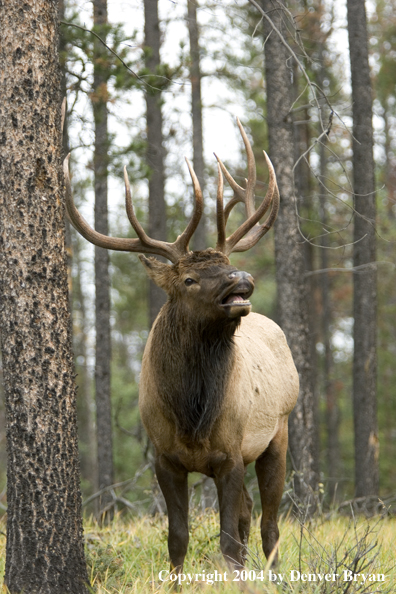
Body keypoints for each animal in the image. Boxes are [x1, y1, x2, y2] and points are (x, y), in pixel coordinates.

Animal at [63, 119, 298, 568]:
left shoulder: (230, 454)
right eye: (189, 279)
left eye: (226, 263)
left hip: (278, 432)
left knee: (270, 526)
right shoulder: (165, 458)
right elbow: (178, 538)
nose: (241, 278)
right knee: (249, 514)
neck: (192, 415)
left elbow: (228, 543)